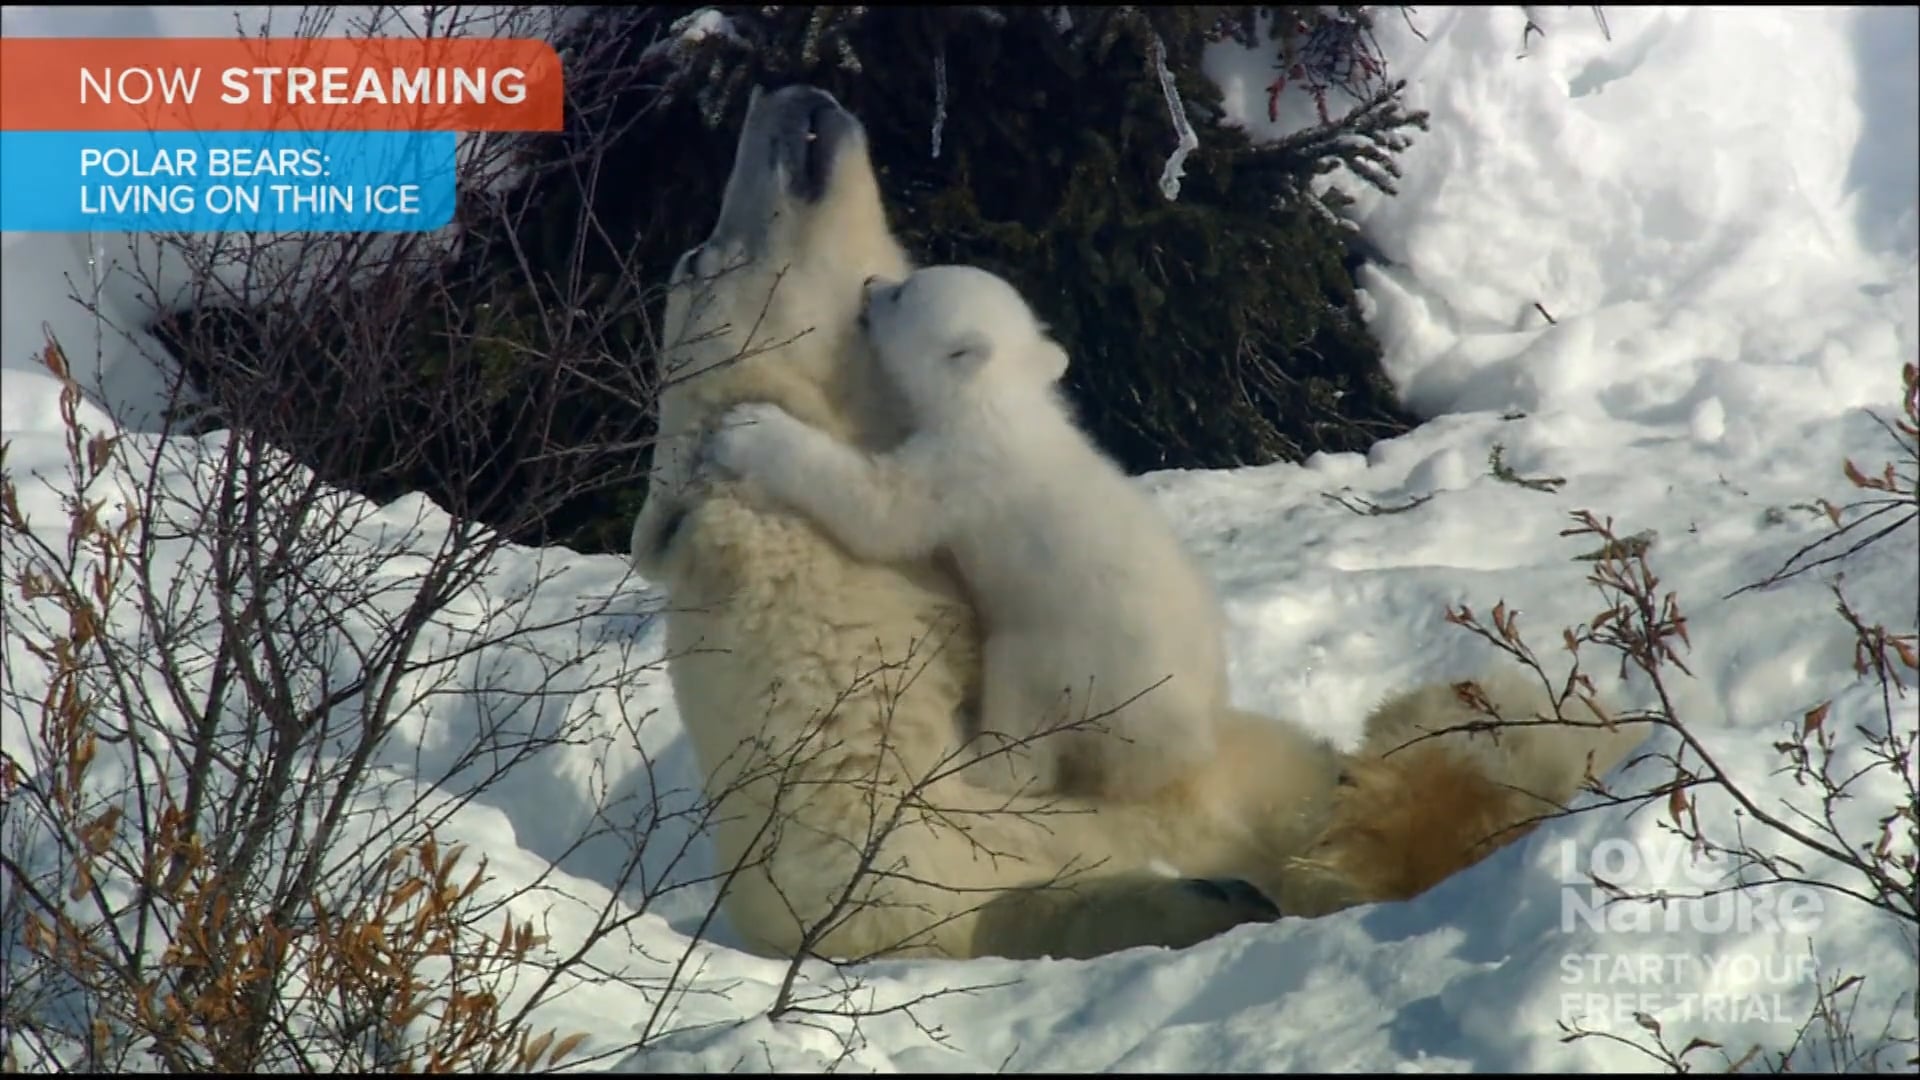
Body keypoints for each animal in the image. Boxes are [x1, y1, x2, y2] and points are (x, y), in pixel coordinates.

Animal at [701, 263, 1232, 801]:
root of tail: (1192, 743)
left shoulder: (963, 469)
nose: (870, 285)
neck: (993, 398)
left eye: (904, 292)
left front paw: (750, 427)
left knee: (1019, 701)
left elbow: (881, 511)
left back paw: (976, 759)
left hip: (1076, 664)